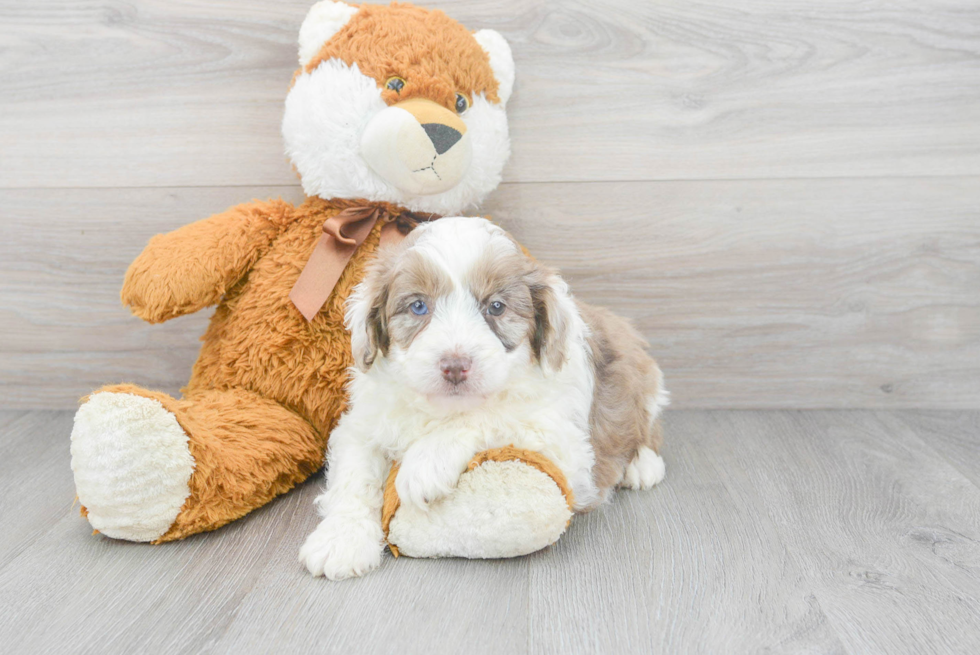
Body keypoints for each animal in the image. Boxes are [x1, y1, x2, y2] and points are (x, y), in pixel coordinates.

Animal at [298, 219, 668, 580]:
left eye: (496, 307)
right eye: (418, 306)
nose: (454, 366)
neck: (441, 409)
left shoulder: (566, 442)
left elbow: (492, 415)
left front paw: (424, 464)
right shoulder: (362, 424)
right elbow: (354, 477)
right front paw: (341, 540)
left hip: (646, 379)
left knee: (649, 427)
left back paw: (642, 466)